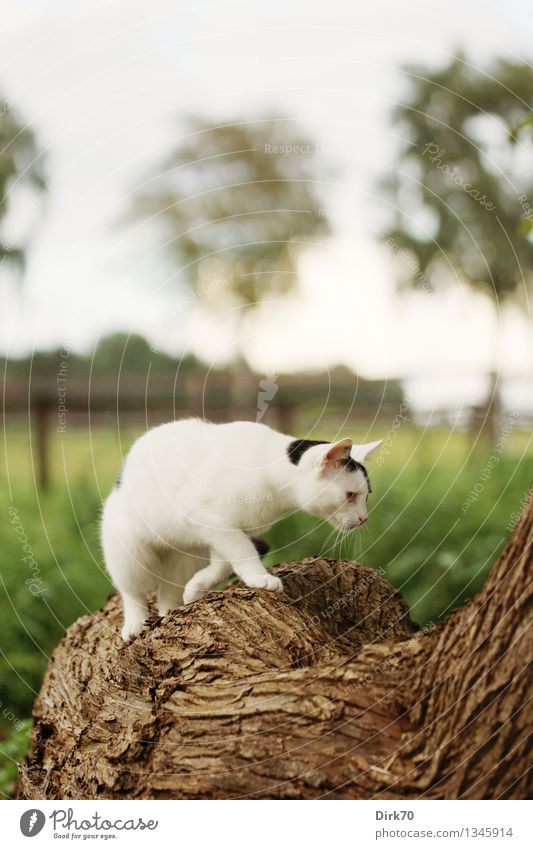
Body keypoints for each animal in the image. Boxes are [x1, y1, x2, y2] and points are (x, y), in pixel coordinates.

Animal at [100, 414, 380, 640]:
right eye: (350, 496)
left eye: (366, 495)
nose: (364, 518)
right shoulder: (206, 516)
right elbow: (243, 551)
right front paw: (260, 578)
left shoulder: (229, 529)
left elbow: (224, 563)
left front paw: (198, 587)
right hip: (129, 553)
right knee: (133, 593)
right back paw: (135, 624)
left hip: (184, 558)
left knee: (168, 590)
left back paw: (172, 610)